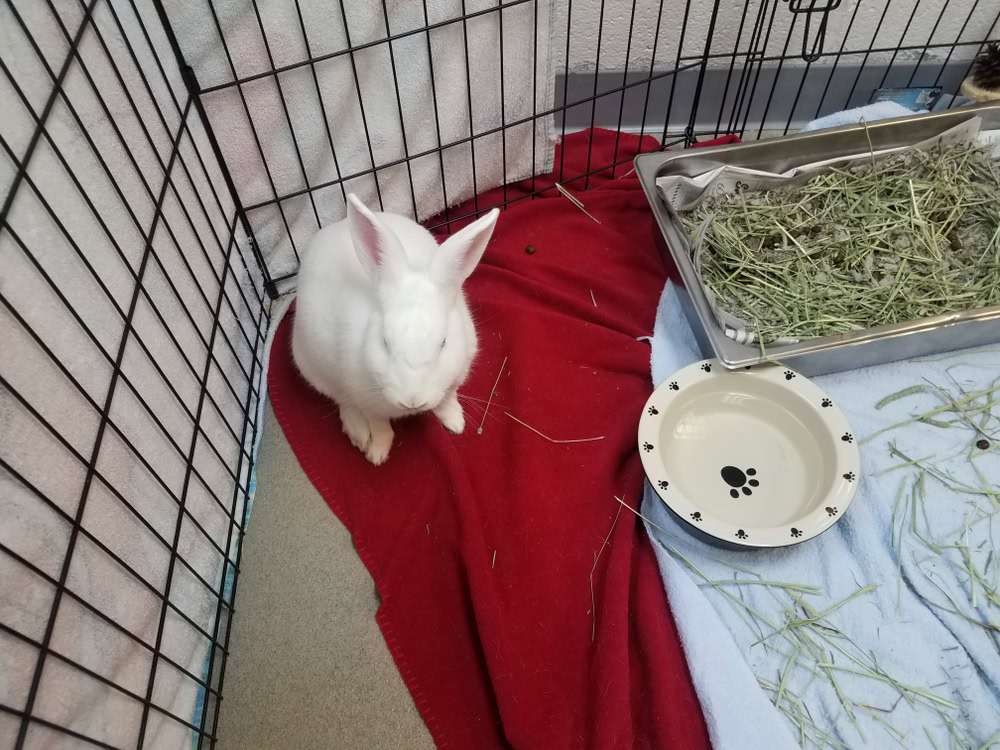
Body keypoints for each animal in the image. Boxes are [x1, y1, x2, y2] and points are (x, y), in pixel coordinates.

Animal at [292, 193, 499, 465]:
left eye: (443, 343)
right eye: (385, 342)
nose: (412, 401)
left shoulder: (455, 376)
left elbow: (447, 399)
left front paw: (456, 422)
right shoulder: (365, 397)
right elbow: (379, 425)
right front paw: (377, 454)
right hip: (315, 368)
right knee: (342, 401)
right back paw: (359, 434)